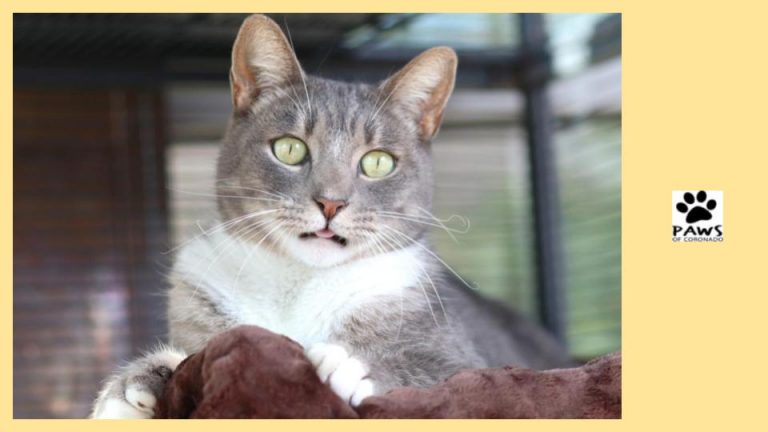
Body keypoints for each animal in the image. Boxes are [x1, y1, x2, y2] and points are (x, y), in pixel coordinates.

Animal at [90, 14, 571, 419]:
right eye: (289, 148)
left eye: (377, 162)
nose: (331, 203)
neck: (299, 286)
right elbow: (188, 356)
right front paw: (134, 384)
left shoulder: (467, 358)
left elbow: (444, 376)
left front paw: (354, 365)